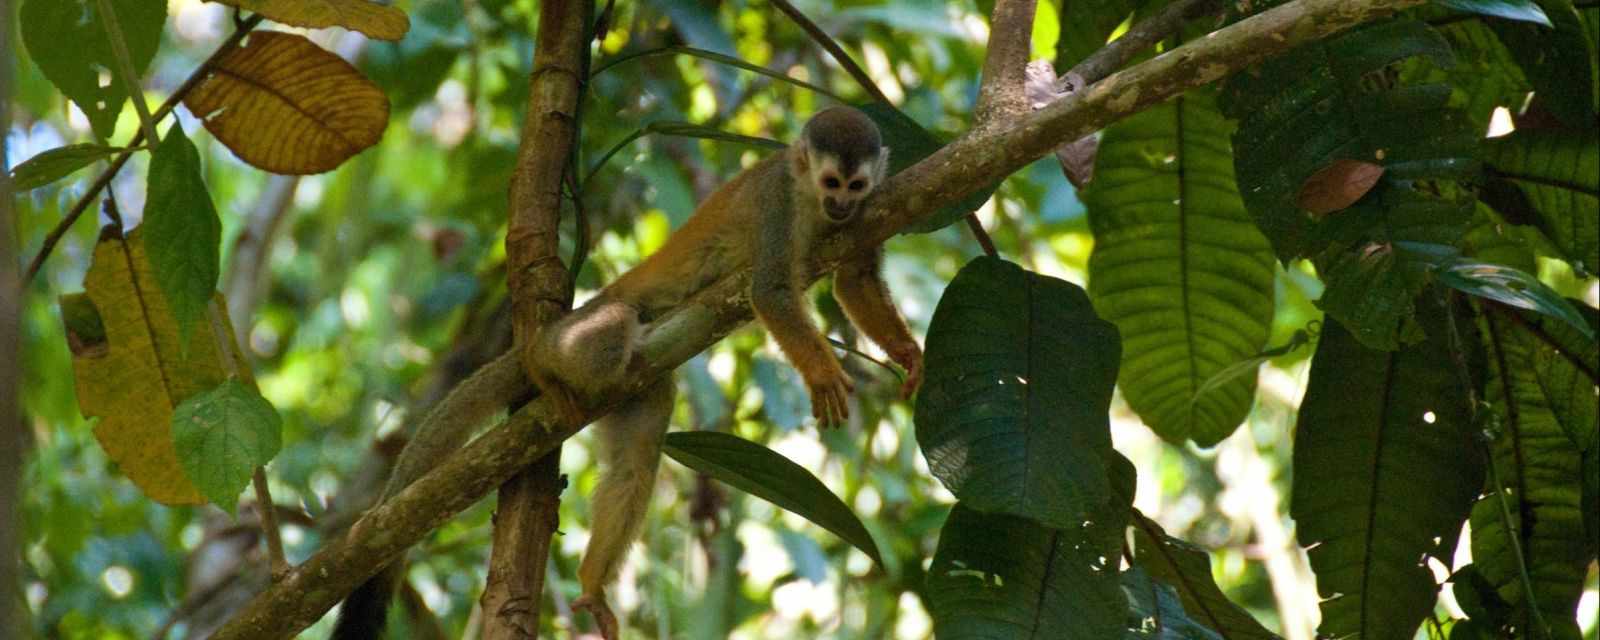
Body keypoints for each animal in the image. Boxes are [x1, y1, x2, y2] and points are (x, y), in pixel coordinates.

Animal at [534, 106, 928, 640]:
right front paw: (822, 373)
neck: (809, 196)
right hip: (598, 320)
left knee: (635, 458)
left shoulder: (872, 208)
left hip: (635, 385)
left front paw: (907, 352)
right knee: (608, 337)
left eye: (856, 185)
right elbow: (771, 293)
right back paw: (539, 363)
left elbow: (856, 277)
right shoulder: (777, 202)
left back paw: (594, 582)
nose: (841, 204)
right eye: (831, 181)